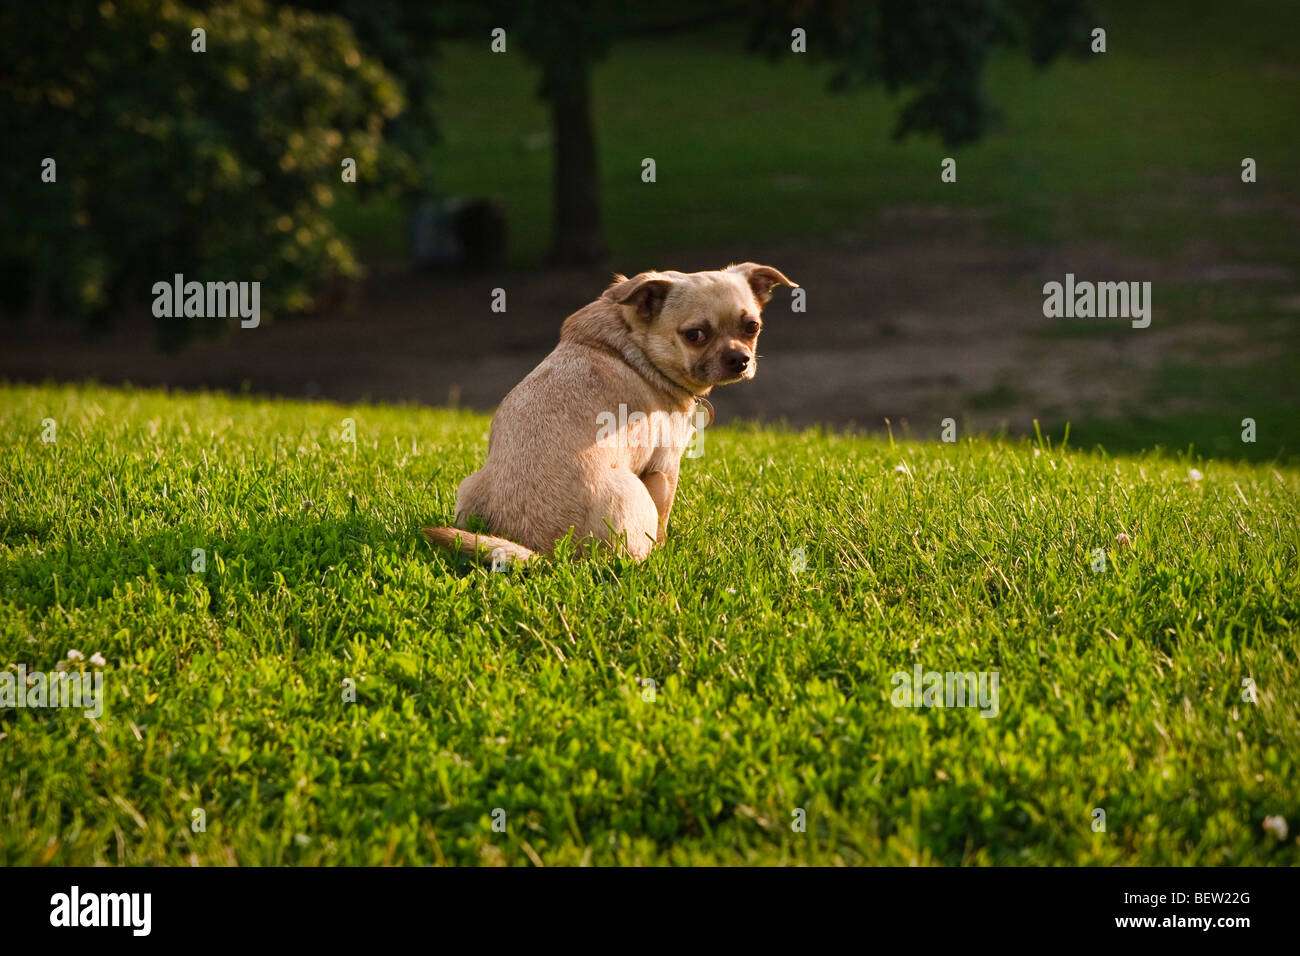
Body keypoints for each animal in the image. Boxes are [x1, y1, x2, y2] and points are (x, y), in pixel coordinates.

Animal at [423, 261, 790, 564]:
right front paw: (665, 548)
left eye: (752, 327)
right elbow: (664, 518)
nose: (739, 358)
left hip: (467, 486)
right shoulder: (665, 467)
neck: (632, 339)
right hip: (635, 492)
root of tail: (548, 554)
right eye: (695, 335)